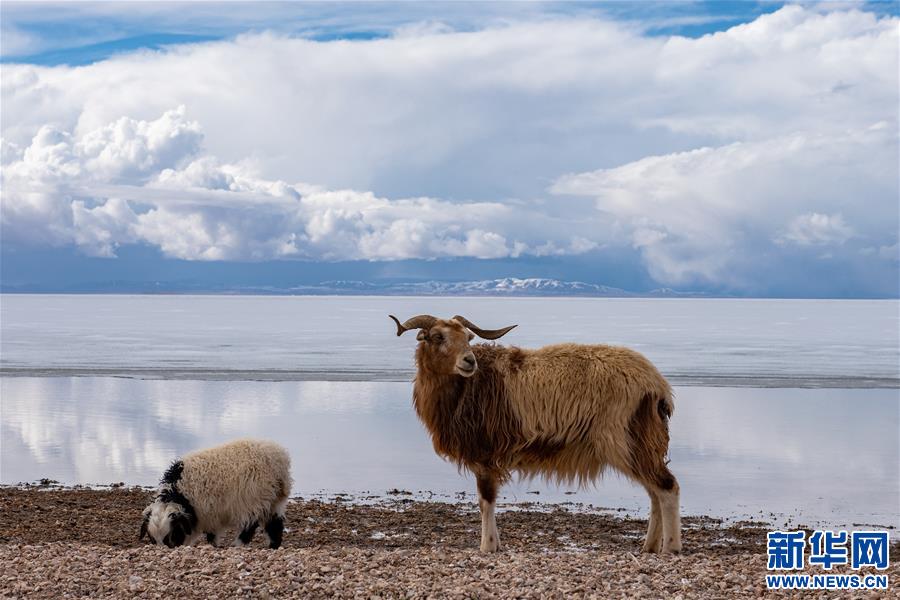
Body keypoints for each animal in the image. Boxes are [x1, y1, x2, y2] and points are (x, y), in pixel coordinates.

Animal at [390, 314, 680, 552]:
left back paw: (670, 548)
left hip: (626, 440)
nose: (469, 361)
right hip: (642, 444)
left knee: (667, 487)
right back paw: (649, 547)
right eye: (438, 337)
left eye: (468, 338)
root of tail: (658, 385)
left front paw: (487, 546)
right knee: (655, 493)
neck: (467, 388)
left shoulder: (485, 455)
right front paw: (496, 545)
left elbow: (486, 501)